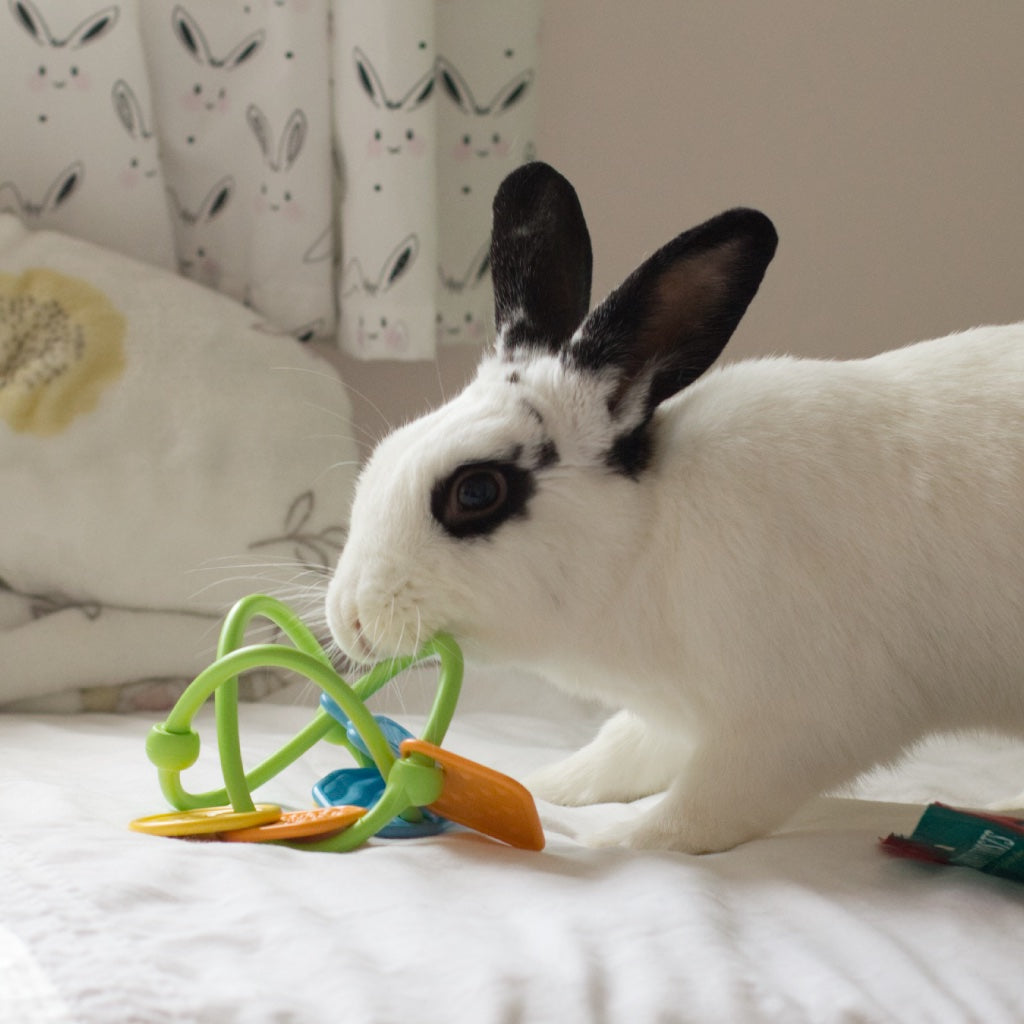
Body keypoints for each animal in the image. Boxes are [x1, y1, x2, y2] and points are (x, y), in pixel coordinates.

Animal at [325, 161, 1024, 854]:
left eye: (475, 491)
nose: (350, 620)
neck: (649, 538)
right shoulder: (673, 715)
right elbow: (622, 750)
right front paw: (552, 787)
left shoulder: (796, 723)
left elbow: (708, 805)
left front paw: (624, 841)